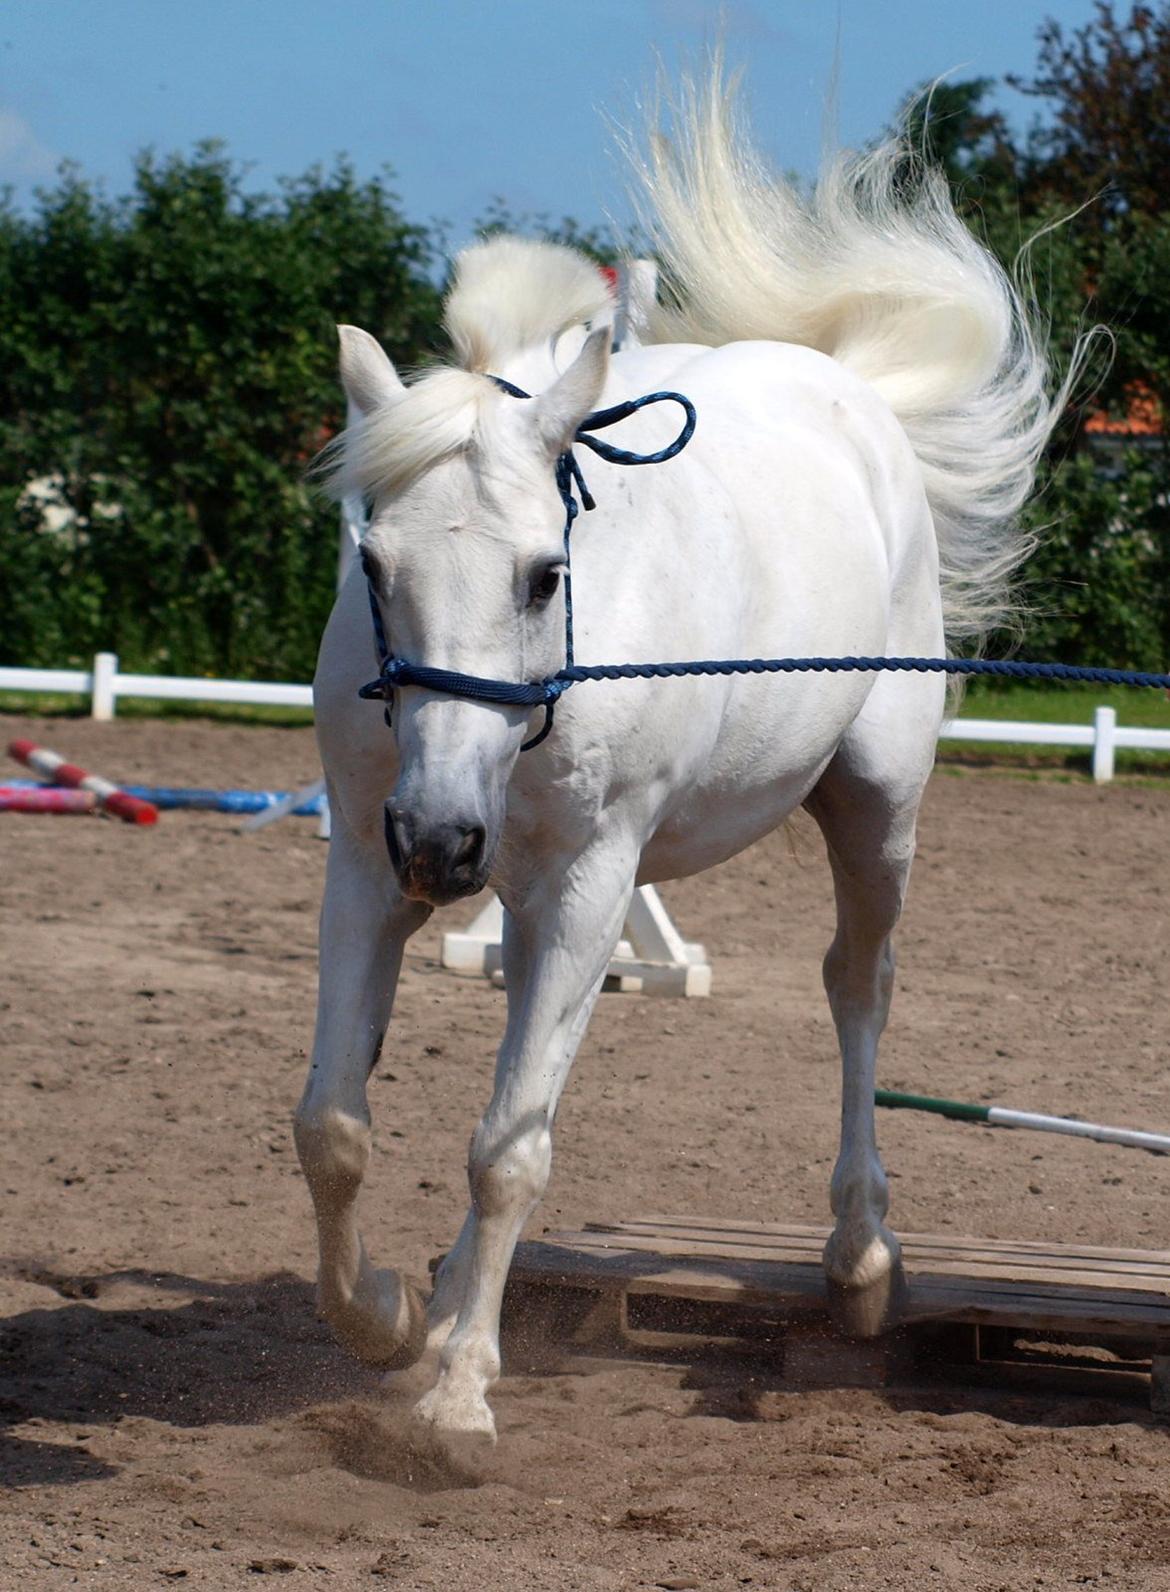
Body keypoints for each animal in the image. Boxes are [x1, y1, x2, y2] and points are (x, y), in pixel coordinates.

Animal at [294, 74, 1082, 1451]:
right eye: (375, 564)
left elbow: (508, 1145)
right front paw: (389, 1317)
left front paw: (455, 1398)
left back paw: (860, 1260)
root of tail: (848, 388)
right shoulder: (369, 866)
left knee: (859, 987)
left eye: (541, 573)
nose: (443, 839)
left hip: (875, 809)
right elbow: (336, 1124)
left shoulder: (593, 884)